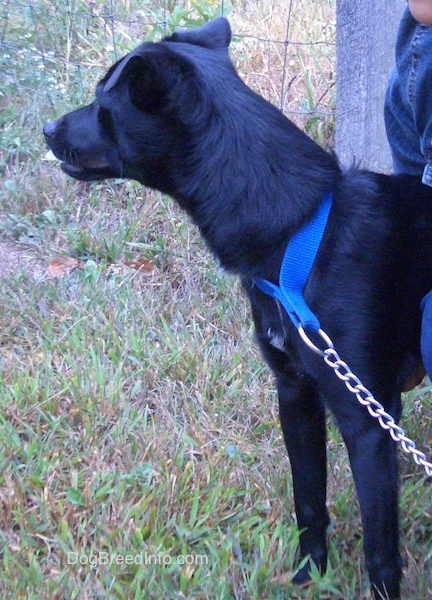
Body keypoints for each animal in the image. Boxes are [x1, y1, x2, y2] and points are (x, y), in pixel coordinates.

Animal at [44, 16, 432, 596]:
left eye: (101, 102)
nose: (48, 129)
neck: (301, 232)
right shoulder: (295, 393)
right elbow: (308, 500)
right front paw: (309, 572)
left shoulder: (365, 420)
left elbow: (380, 552)